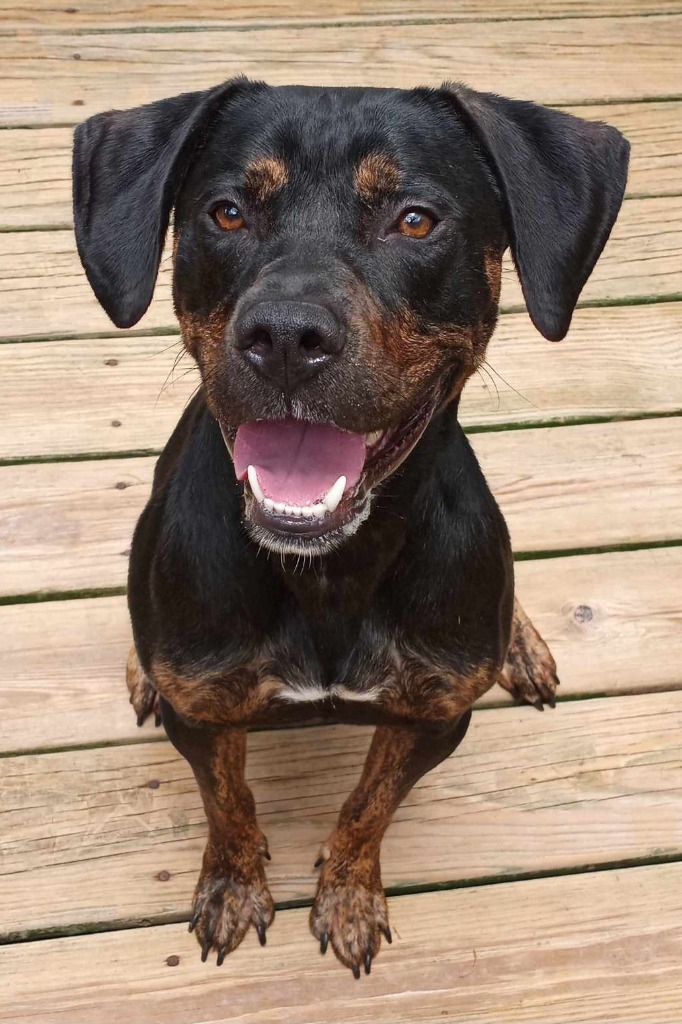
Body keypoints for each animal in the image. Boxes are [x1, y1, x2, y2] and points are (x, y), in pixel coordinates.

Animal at [73, 79, 626, 974]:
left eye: (416, 220)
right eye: (227, 212)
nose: (285, 337)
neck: (331, 571)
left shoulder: (431, 717)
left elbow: (369, 807)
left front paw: (350, 895)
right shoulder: (205, 713)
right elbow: (228, 802)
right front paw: (233, 888)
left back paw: (521, 643)